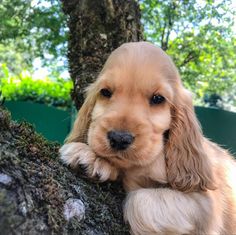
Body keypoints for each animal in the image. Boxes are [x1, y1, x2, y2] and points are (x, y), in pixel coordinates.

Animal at [59, 41, 236, 234]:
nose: (119, 139)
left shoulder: (206, 205)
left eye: (158, 98)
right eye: (105, 92)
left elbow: (138, 201)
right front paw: (91, 157)